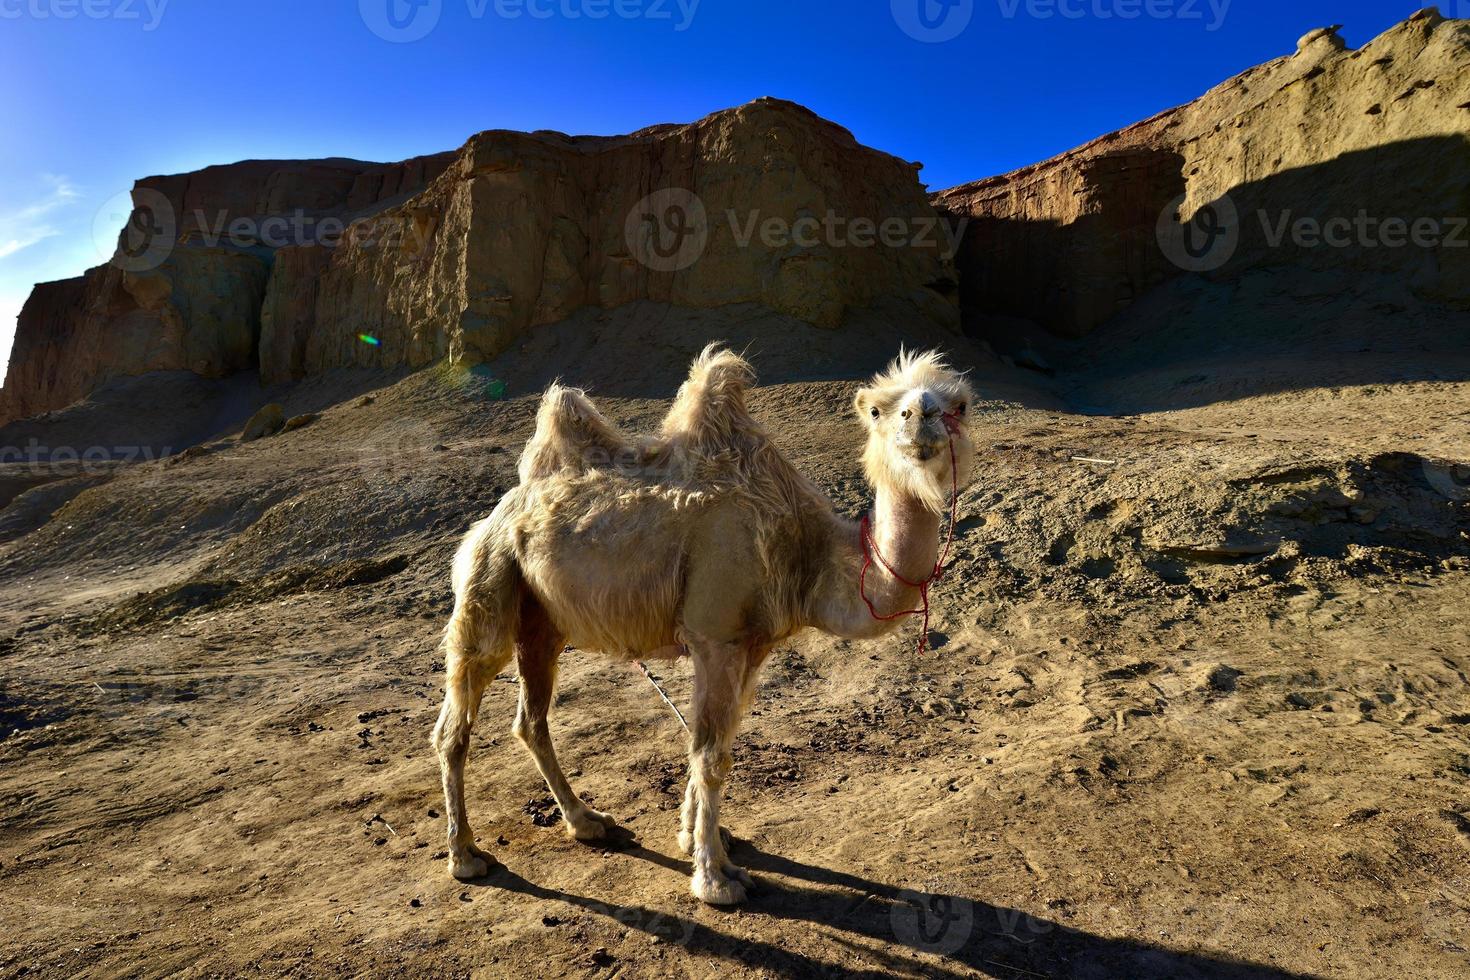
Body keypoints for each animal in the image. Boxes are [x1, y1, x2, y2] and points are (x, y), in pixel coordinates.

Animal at [426, 348, 976, 910]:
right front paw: (715, 879)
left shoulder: (753, 645)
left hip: (542, 623)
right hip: (489, 581)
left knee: (531, 720)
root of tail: (497, 512)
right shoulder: (717, 636)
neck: (805, 553)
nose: (921, 415)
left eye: (960, 404)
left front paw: (696, 836)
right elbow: (712, 755)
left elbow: (711, 739)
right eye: (880, 410)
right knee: (455, 721)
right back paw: (465, 856)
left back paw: (587, 822)